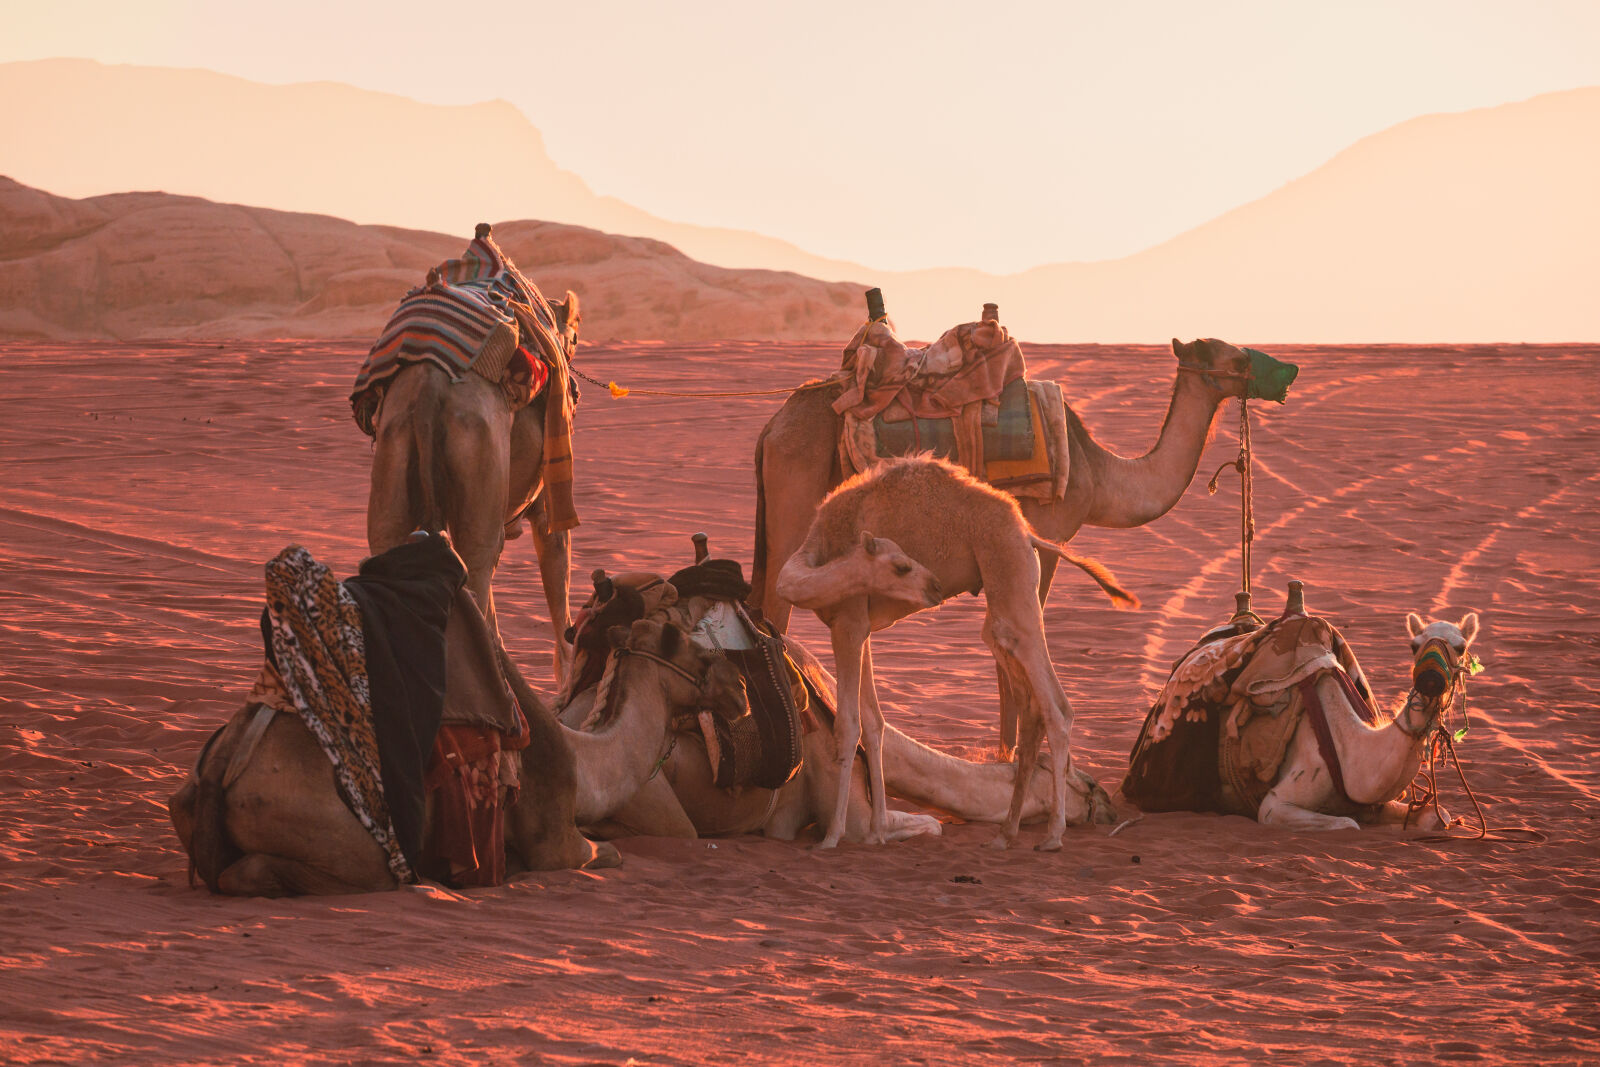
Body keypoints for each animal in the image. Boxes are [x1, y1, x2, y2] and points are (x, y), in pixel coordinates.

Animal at [168, 613, 746, 896]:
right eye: (700, 654)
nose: (739, 689)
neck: (587, 765)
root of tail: (223, 759)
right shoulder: (556, 842)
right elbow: (611, 855)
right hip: (328, 825)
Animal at [364, 295, 581, 683]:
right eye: (576, 332)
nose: (574, 388)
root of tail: (430, 387)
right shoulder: (546, 504)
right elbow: (560, 601)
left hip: (394, 447)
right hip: (479, 453)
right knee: (478, 569)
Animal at [775, 456, 1137, 851]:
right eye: (902, 565)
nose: (935, 586)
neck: (818, 553)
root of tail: (1029, 534)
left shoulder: (849, 622)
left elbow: (849, 725)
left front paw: (833, 837)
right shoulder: (860, 629)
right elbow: (874, 724)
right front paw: (876, 832)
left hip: (1009, 574)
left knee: (1056, 707)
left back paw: (1053, 835)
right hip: (1005, 596)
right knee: (1028, 698)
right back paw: (1005, 834)